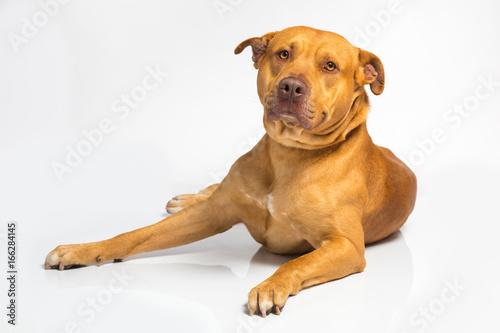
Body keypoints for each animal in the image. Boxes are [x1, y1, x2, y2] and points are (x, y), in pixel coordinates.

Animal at [45, 26, 416, 316]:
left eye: (330, 66)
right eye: (283, 54)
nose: (291, 86)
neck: (288, 154)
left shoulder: (346, 246)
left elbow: (298, 262)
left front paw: (270, 286)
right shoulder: (216, 212)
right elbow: (136, 234)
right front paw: (82, 249)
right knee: (208, 193)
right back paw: (188, 198)